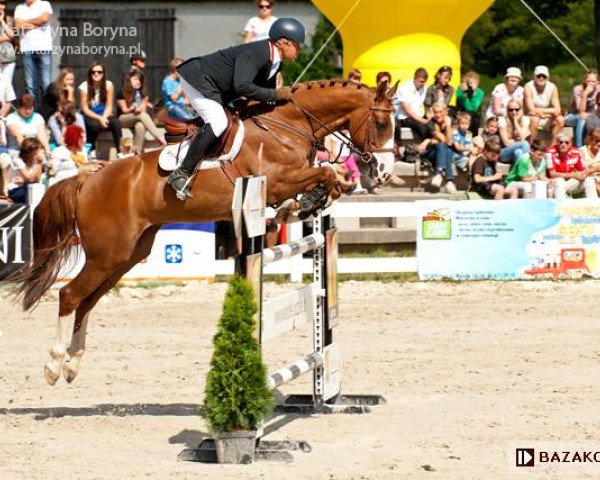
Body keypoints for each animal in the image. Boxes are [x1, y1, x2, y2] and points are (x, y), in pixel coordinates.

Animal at [16, 79, 396, 386]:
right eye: (380, 122)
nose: (382, 171)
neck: (288, 125)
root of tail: (88, 179)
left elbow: (327, 179)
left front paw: (302, 206)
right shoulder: (275, 181)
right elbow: (327, 173)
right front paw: (306, 202)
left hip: (125, 256)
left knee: (87, 301)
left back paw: (72, 364)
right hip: (106, 254)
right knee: (70, 296)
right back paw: (53, 365)